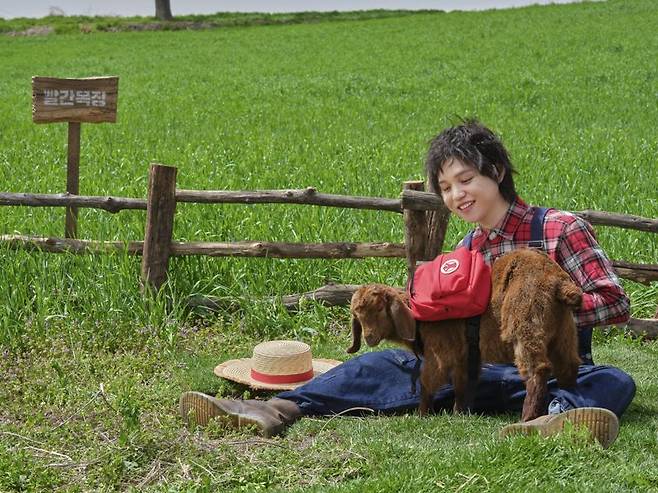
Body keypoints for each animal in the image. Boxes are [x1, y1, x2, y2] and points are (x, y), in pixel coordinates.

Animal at [348, 248, 580, 420]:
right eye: (357, 315)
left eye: (380, 308)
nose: (369, 338)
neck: (417, 316)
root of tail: (559, 282)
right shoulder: (464, 355)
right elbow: (462, 382)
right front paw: (459, 412)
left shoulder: (441, 350)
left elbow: (428, 380)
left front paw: (422, 414)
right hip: (564, 331)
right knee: (568, 365)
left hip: (525, 322)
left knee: (538, 369)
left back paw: (528, 416)